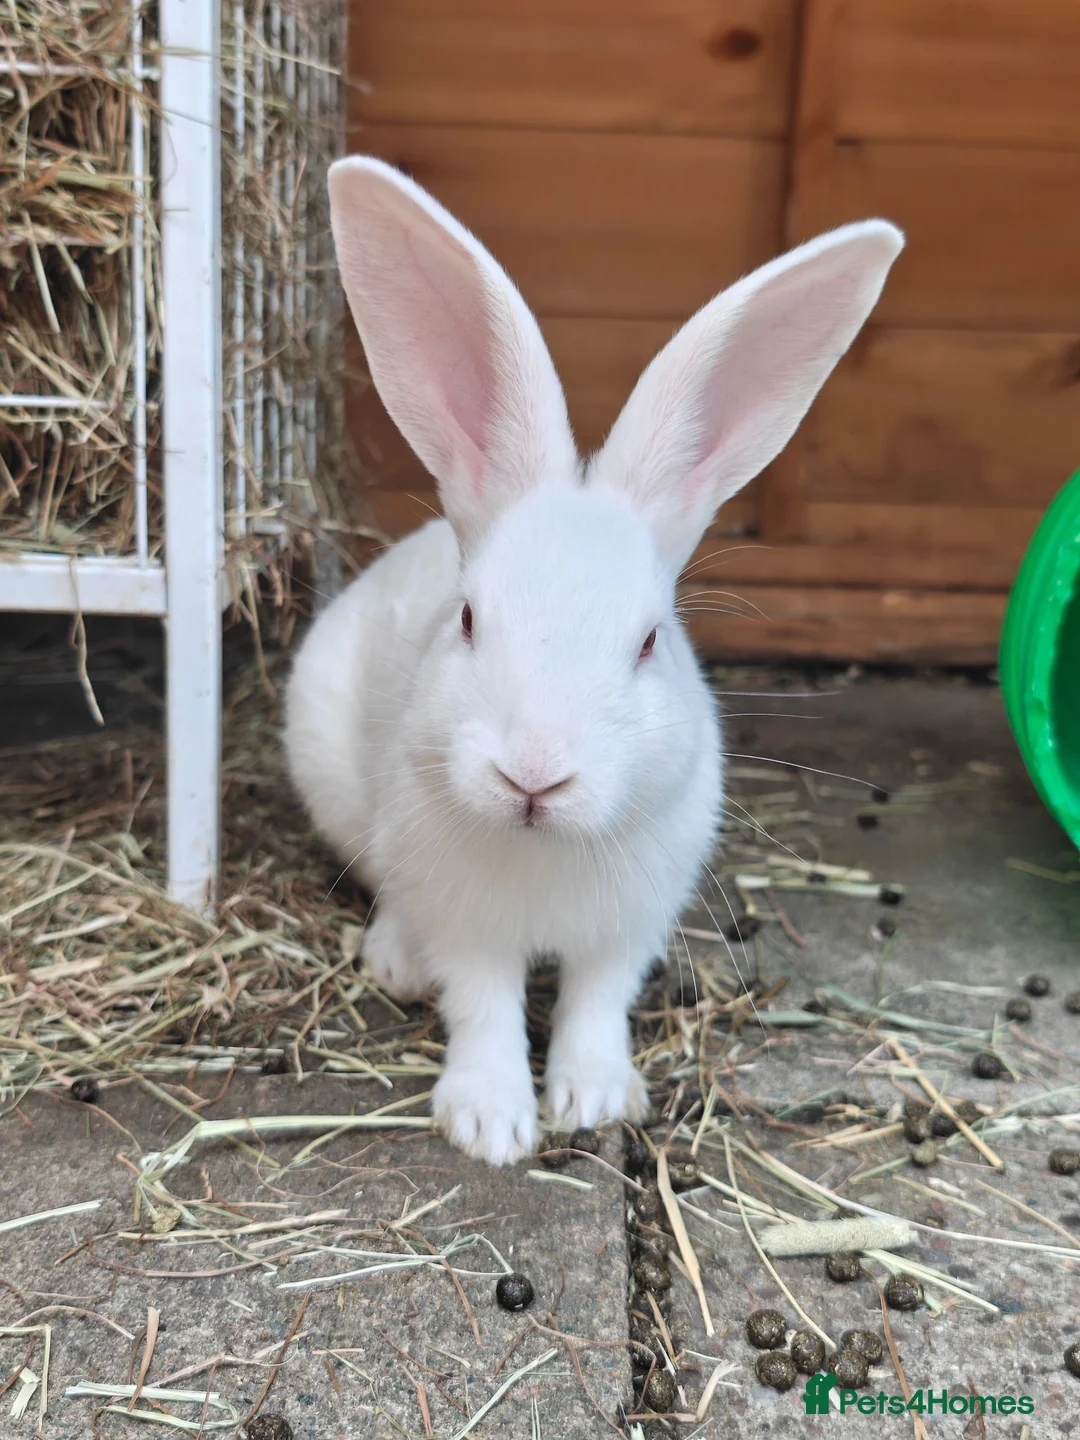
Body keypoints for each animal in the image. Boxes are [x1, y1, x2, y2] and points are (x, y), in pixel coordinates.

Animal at [284, 155, 903, 1166]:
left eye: (649, 640)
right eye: (467, 618)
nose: (534, 775)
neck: (545, 851)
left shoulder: (631, 927)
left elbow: (594, 1004)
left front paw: (598, 1102)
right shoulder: (468, 927)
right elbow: (484, 1008)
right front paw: (491, 1126)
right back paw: (394, 961)